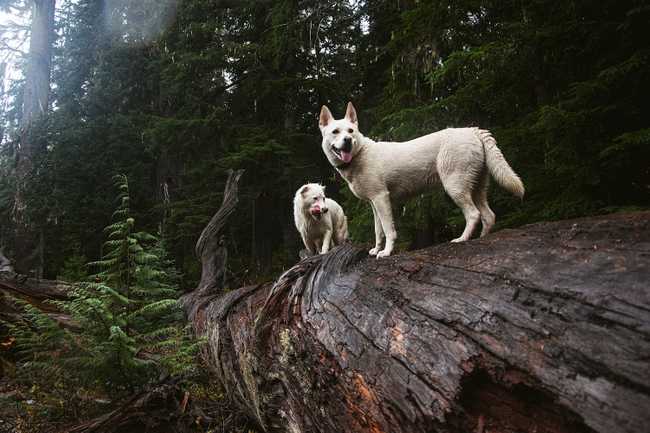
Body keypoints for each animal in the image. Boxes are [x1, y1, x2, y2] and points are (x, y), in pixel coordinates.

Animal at [316, 101, 524, 256]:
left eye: (350, 131)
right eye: (336, 132)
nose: (348, 141)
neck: (359, 154)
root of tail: (472, 130)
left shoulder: (382, 199)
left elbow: (389, 230)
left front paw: (386, 252)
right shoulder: (374, 204)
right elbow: (378, 230)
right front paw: (376, 249)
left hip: (456, 187)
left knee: (474, 215)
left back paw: (462, 239)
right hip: (477, 188)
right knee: (489, 216)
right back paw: (481, 238)